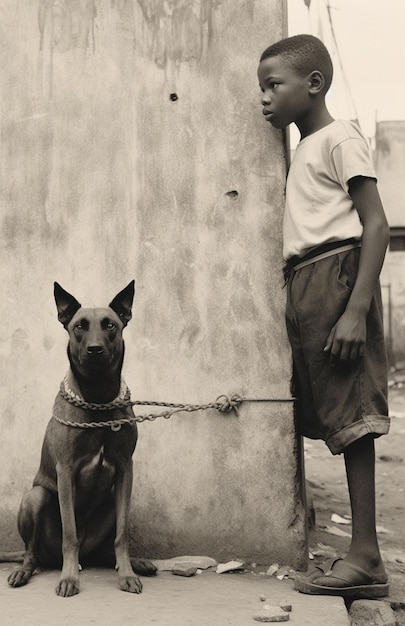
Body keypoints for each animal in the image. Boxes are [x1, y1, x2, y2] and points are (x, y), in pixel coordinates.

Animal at [8, 282, 156, 596]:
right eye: (79, 326)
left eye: (110, 325)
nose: (95, 349)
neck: (98, 398)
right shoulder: (66, 472)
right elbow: (70, 535)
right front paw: (69, 579)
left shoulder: (125, 469)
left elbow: (122, 535)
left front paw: (127, 574)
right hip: (35, 498)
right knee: (32, 551)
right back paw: (25, 570)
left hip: (112, 501)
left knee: (105, 551)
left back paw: (135, 563)